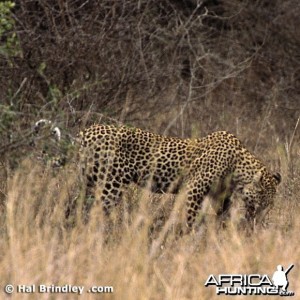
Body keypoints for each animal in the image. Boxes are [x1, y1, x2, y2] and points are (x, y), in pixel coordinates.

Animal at [78, 124, 280, 232]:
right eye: (262, 203)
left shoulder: (221, 197)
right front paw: (187, 237)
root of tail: (86, 131)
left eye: (270, 205)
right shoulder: (193, 189)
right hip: (110, 184)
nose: (259, 220)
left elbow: (220, 216)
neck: (237, 165)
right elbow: (190, 216)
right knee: (97, 211)